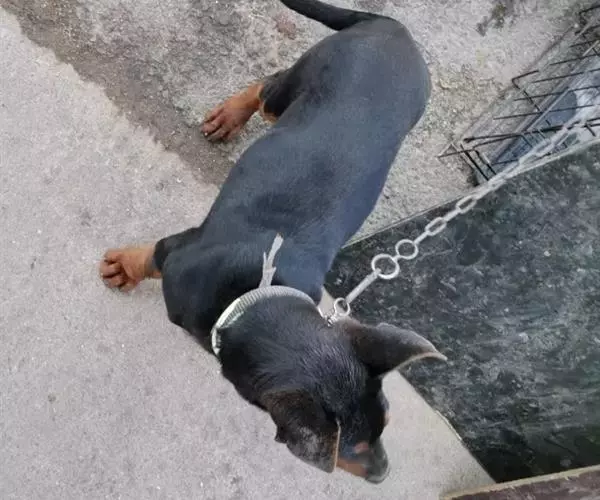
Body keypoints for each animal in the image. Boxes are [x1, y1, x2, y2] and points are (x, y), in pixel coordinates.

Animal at [100, 0, 444, 483]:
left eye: (388, 421)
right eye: (349, 450)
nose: (382, 475)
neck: (253, 298)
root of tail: (394, 28)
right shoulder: (177, 253)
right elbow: (147, 256)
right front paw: (122, 268)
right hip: (295, 86)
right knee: (266, 87)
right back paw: (228, 117)